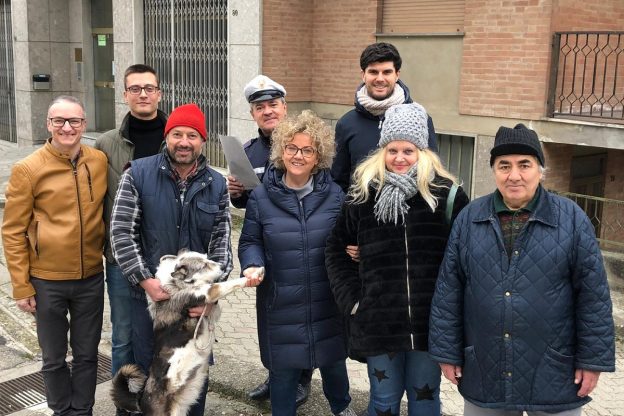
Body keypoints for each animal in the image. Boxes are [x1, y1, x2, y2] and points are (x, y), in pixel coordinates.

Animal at [111, 250, 258, 416]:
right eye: (204, 265)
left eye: (207, 258)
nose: (223, 266)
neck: (175, 284)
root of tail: (140, 401)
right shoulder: (204, 293)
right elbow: (223, 285)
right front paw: (255, 274)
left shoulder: (211, 312)